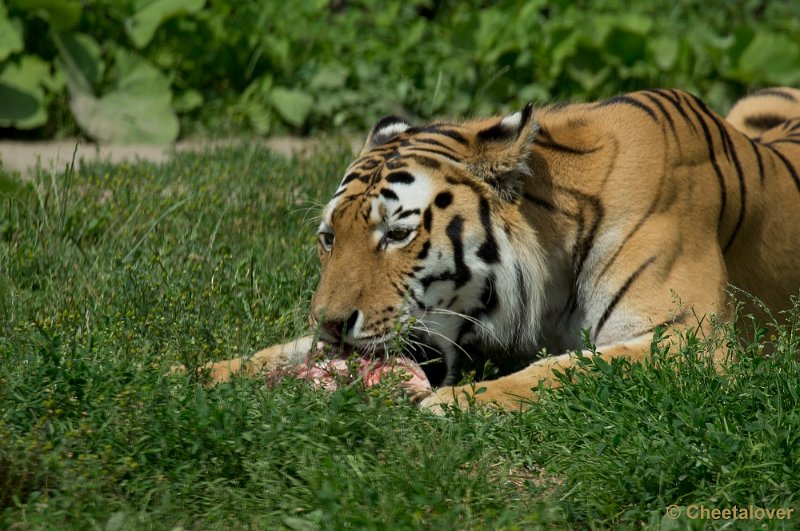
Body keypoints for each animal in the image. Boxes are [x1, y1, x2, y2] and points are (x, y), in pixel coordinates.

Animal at [198, 86, 800, 412]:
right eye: (328, 239)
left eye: (396, 234)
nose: (328, 322)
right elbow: (277, 352)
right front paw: (192, 377)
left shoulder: (693, 339)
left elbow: (562, 370)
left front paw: (450, 405)